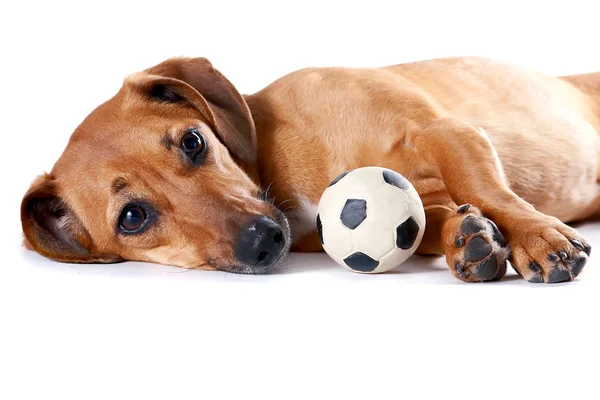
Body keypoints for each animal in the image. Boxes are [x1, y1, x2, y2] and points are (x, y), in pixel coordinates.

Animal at [19, 57, 600, 282]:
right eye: (132, 217)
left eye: (192, 142)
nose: (261, 240)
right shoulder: (421, 196)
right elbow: (431, 219)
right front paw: (467, 238)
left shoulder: (445, 132)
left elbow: (485, 187)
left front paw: (538, 237)